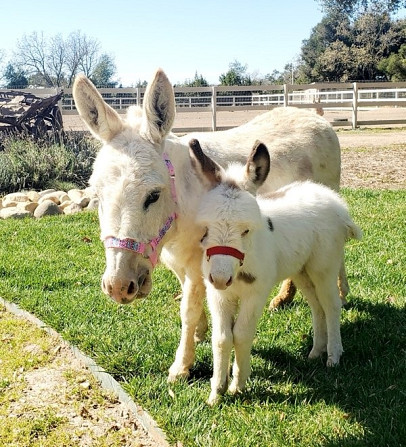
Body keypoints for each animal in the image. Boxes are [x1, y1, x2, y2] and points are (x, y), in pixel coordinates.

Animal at [188, 139, 362, 406]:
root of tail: (334, 201)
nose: (220, 278)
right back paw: (316, 351)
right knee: (317, 306)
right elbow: (222, 338)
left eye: (246, 230)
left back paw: (333, 356)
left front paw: (238, 385)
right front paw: (216, 392)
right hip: (301, 271)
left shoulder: (255, 294)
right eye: (205, 229)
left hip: (324, 267)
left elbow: (241, 334)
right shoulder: (218, 296)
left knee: (331, 305)